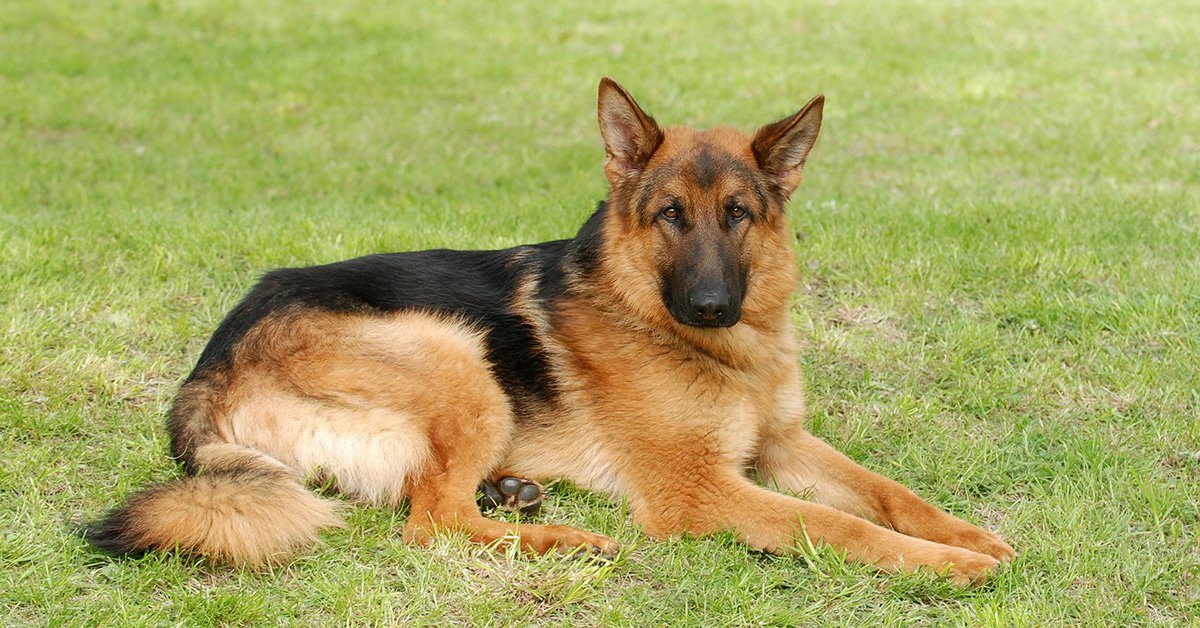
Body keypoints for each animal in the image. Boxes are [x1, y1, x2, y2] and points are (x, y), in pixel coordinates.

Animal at [91, 77, 1012, 585]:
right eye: (670, 216)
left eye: (738, 215)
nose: (710, 305)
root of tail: (210, 364)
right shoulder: (699, 491)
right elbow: (840, 526)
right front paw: (953, 567)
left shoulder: (783, 444)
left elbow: (891, 494)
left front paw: (971, 535)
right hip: (457, 354)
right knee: (430, 523)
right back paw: (564, 537)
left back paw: (517, 494)